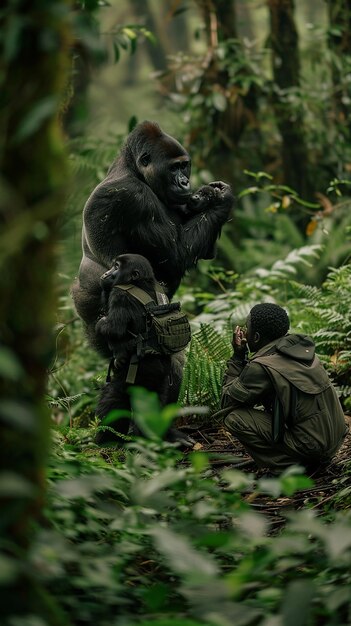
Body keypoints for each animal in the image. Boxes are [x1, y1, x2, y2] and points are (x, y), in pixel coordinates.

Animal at [72, 117, 235, 352]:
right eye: (173, 168)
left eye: (184, 165)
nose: (185, 182)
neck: (132, 168)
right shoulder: (134, 196)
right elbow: (175, 256)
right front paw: (221, 198)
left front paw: (207, 195)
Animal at [95, 251, 194, 446]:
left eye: (116, 267)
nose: (106, 273)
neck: (140, 282)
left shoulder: (120, 294)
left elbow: (113, 328)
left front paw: (102, 323)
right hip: (160, 372)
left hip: (141, 371)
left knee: (116, 397)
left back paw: (106, 441)